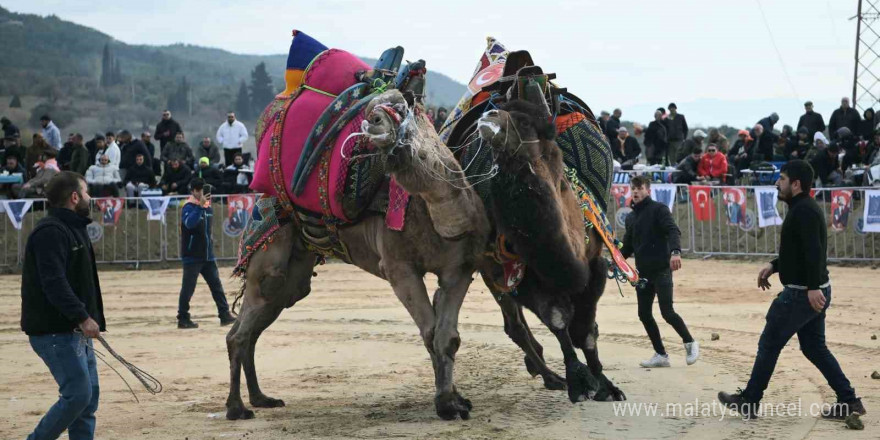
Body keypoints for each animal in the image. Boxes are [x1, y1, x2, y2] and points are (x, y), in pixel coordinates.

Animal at [225, 87, 488, 422]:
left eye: (398, 110)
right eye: (374, 112)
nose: (372, 123)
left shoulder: (459, 270)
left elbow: (448, 337)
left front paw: (456, 401)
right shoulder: (399, 268)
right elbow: (430, 333)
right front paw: (444, 403)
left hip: (294, 273)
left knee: (256, 324)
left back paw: (261, 398)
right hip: (268, 256)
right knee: (243, 328)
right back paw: (236, 407)